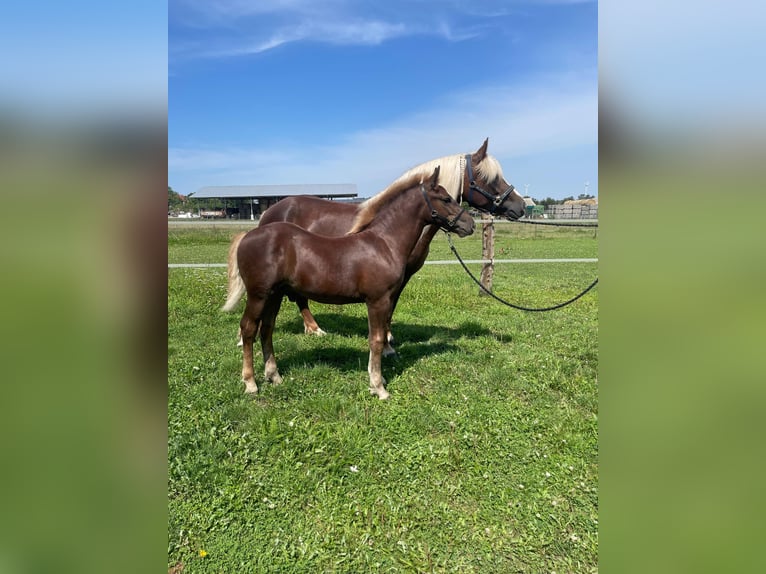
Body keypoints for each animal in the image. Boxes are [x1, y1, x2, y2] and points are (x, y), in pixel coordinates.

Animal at [222, 166, 474, 400]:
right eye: (446, 199)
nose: (469, 224)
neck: (384, 243)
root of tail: (248, 236)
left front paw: (378, 379)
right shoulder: (377, 301)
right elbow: (377, 340)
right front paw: (379, 387)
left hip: (275, 294)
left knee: (267, 329)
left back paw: (274, 375)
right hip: (258, 295)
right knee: (248, 329)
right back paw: (251, 383)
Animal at [228, 140, 524, 356]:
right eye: (489, 178)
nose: (520, 206)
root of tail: (269, 213)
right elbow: (389, 310)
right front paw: (388, 345)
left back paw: (313, 329)